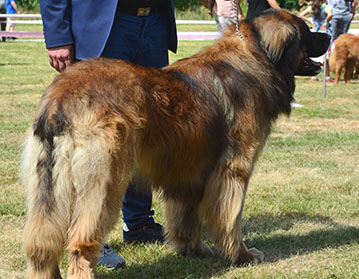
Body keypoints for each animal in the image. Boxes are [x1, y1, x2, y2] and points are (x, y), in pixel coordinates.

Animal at [21, 10, 330, 279]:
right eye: (306, 31)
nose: (328, 35)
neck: (257, 57)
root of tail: (59, 100)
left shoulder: (189, 172)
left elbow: (187, 217)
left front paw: (192, 248)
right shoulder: (233, 170)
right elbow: (231, 219)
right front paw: (242, 256)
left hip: (48, 187)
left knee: (42, 243)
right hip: (104, 183)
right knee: (80, 241)